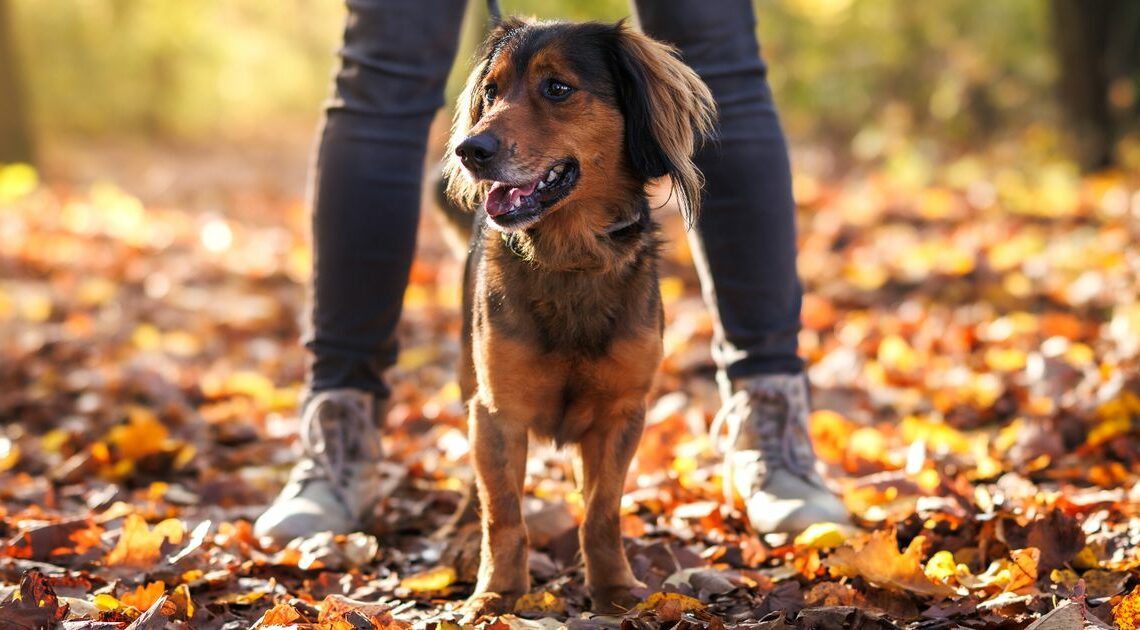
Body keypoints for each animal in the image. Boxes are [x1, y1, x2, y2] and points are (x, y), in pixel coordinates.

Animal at [444, 18, 711, 615]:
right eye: (491, 91)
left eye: (558, 88)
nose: (470, 149)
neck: (570, 258)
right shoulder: (497, 413)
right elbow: (503, 514)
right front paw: (498, 592)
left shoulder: (621, 414)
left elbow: (601, 511)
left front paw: (615, 590)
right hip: (470, 382)